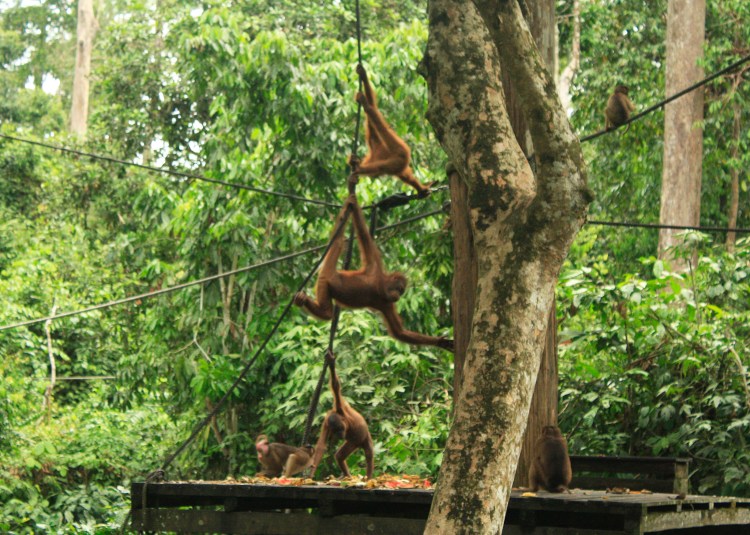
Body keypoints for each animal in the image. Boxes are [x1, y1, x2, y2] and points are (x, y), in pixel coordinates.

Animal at [293, 192, 453, 351]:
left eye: (402, 292)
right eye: (399, 289)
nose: (398, 296)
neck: (380, 288)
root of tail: (332, 272)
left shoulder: (387, 304)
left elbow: (399, 332)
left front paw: (440, 342)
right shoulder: (375, 267)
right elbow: (364, 235)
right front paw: (355, 204)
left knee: (326, 313)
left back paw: (304, 300)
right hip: (324, 279)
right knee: (338, 243)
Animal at [311, 350, 374, 479]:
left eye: (340, 428)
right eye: (335, 431)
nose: (340, 435)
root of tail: (359, 444)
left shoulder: (339, 406)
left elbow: (335, 385)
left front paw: (331, 362)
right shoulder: (326, 425)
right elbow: (321, 446)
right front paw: (311, 471)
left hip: (362, 437)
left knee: (369, 453)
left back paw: (368, 478)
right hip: (354, 442)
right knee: (340, 456)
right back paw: (346, 475)